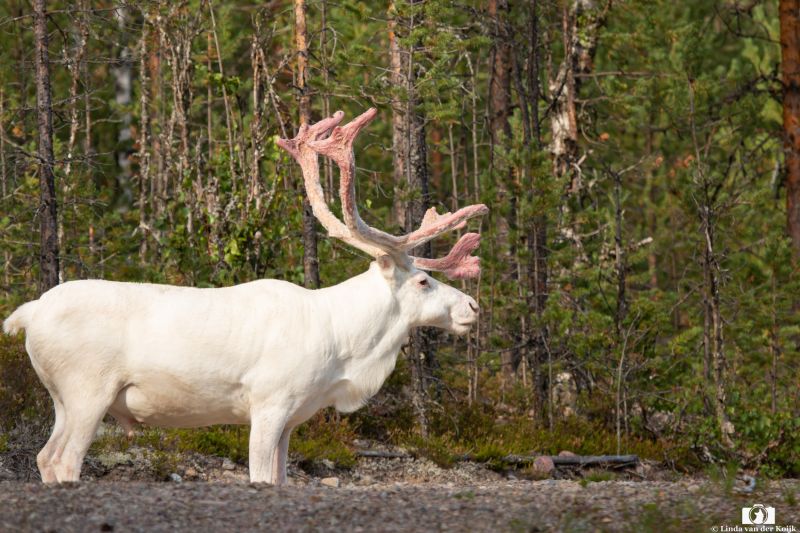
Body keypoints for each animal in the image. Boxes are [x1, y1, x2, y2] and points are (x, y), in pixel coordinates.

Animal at [2, 108, 487, 485]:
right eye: (422, 282)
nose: (472, 307)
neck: (344, 347)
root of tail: (27, 314)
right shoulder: (269, 403)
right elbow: (261, 479)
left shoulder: (293, 417)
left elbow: (282, 480)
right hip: (88, 389)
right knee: (65, 460)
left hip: (61, 398)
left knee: (45, 456)